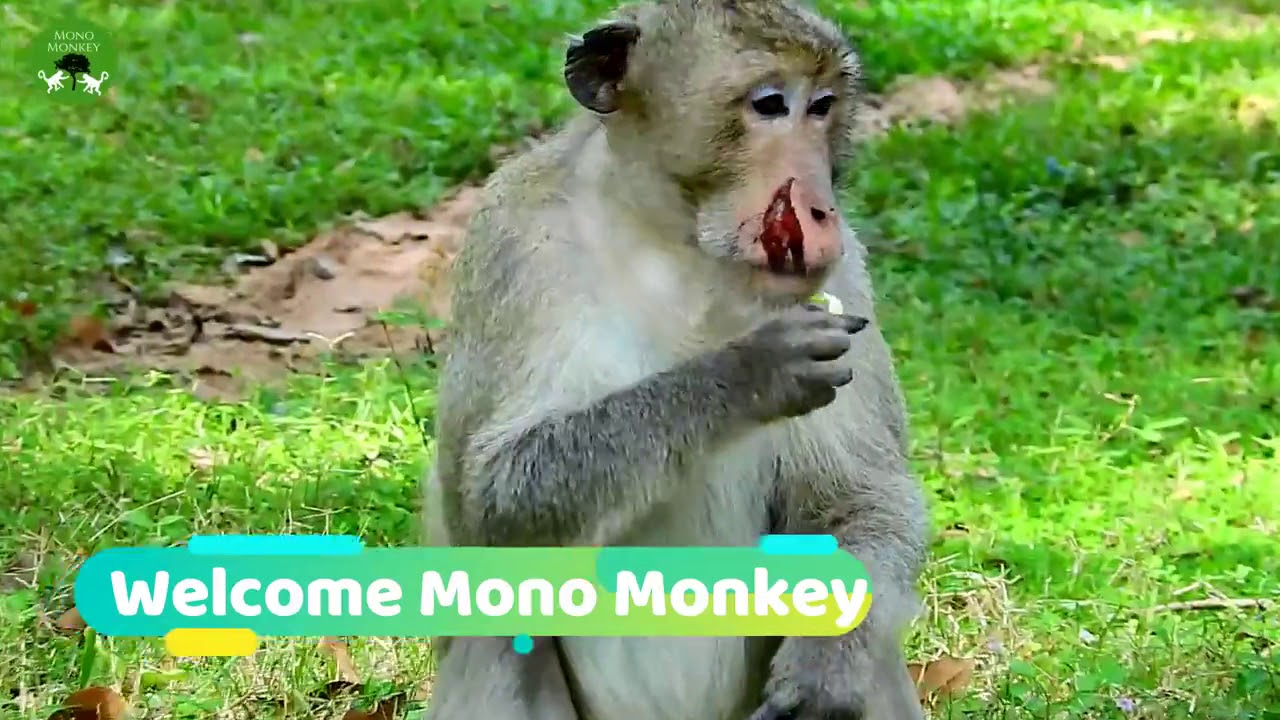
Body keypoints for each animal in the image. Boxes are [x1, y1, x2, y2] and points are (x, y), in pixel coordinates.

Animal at [420, 1, 929, 719]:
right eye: (770, 104)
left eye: (823, 105)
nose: (820, 206)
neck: (676, 242)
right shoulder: (512, 244)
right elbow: (488, 502)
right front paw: (747, 373)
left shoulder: (846, 275)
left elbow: (858, 499)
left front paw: (825, 671)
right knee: (496, 628)